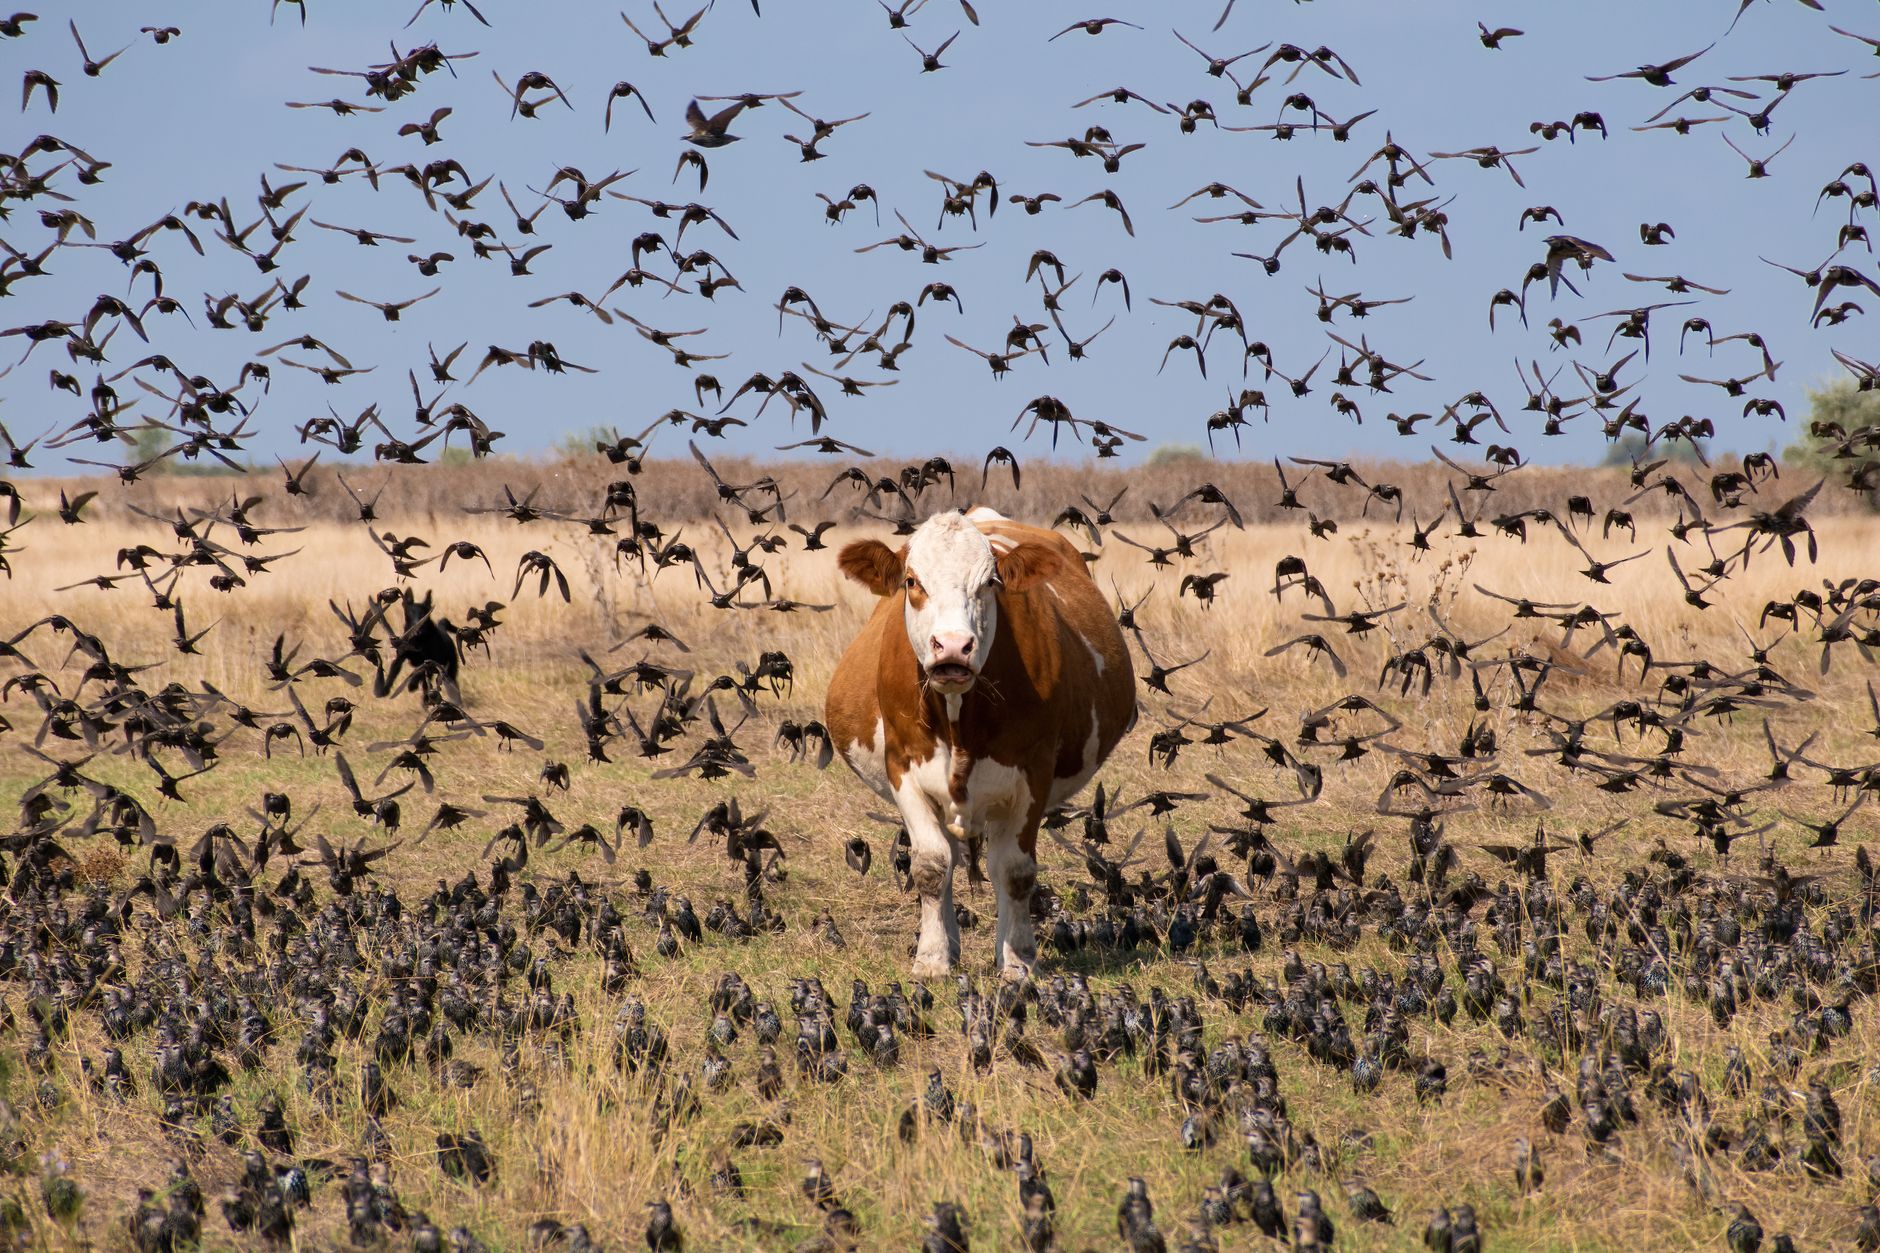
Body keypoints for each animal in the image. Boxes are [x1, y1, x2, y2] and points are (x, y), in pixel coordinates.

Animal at [826, 506, 1136, 980]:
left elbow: (1014, 871)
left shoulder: (1033, 773)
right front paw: (932, 959)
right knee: (950, 856)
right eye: (912, 581)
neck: (958, 720)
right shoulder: (903, 769)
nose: (953, 646)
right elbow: (932, 865)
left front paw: (1018, 959)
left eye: (990, 582)